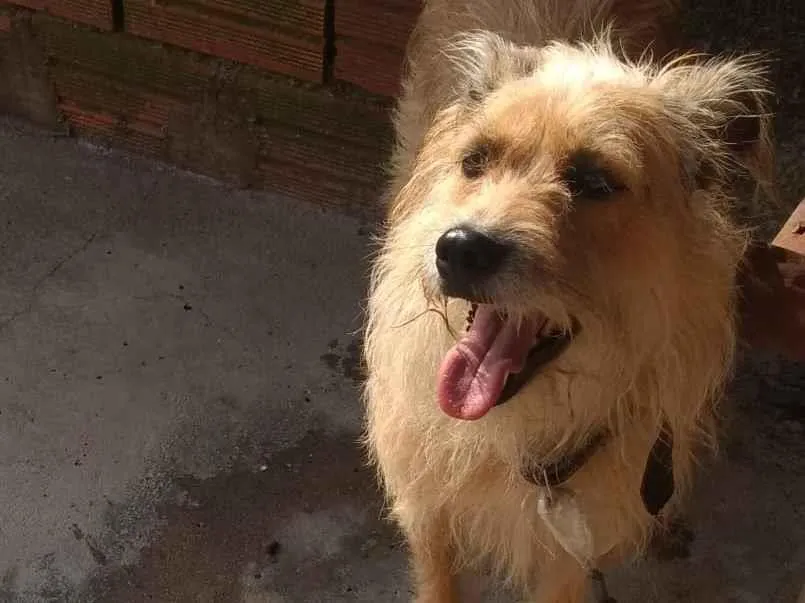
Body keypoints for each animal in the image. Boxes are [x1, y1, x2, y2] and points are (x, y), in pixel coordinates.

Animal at [363, 1, 773, 601]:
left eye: (595, 182)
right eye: (475, 161)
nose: (460, 249)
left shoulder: (571, 554)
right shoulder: (427, 509)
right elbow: (439, 578)